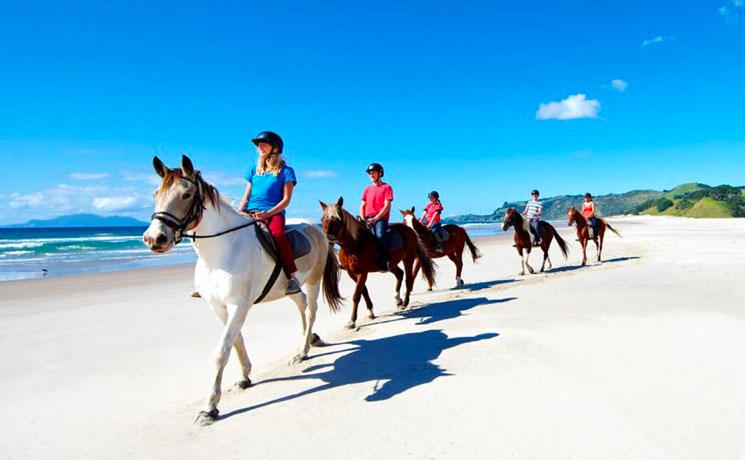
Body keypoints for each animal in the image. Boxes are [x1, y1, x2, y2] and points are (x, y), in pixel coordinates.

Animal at [142, 156, 342, 426]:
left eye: (186, 194)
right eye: (155, 193)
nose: (154, 239)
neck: (221, 251)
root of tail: (316, 228)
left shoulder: (239, 305)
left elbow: (221, 351)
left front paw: (209, 407)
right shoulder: (218, 306)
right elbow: (235, 340)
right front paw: (245, 376)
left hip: (313, 281)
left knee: (310, 310)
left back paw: (302, 351)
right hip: (290, 287)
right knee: (300, 303)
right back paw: (308, 339)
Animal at [318, 196, 436, 328]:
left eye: (337, 219)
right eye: (322, 219)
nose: (327, 240)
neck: (354, 244)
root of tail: (410, 230)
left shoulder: (362, 272)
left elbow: (356, 295)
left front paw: (352, 321)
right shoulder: (351, 273)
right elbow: (363, 291)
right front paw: (370, 312)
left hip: (408, 259)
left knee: (408, 279)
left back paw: (404, 302)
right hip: (392, 264)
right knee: (400, 274)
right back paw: (397, 299)